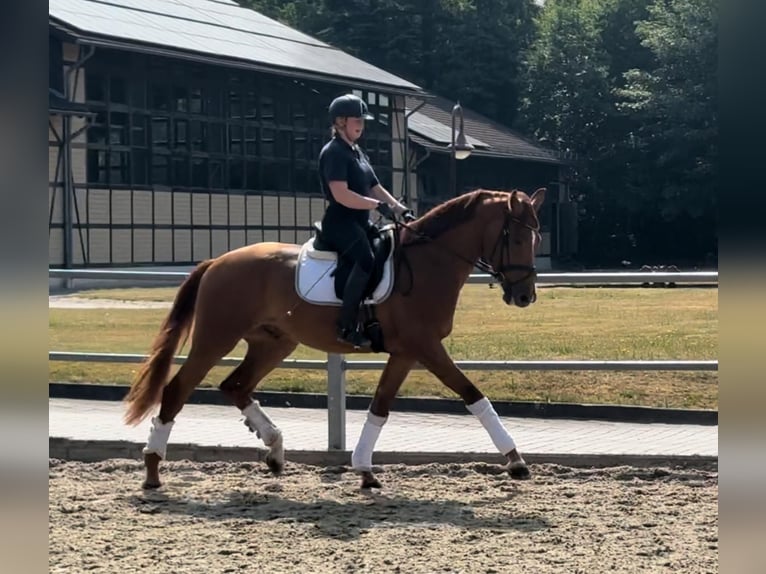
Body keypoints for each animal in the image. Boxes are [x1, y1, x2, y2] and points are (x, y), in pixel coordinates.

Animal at [124, 188, 544, 490]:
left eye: (535, 239)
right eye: (517, 239)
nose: (525, 296)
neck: (429, 262)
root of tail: (217, 262)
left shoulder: (406, 353)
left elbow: (380, 407)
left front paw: (364, 470)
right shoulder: (426, 347)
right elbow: (472, 394)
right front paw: (516, 460)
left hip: (274, 343)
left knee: (235, 385)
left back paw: (275, 450)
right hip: (216, 338)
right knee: (177, 390)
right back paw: (153, 470)